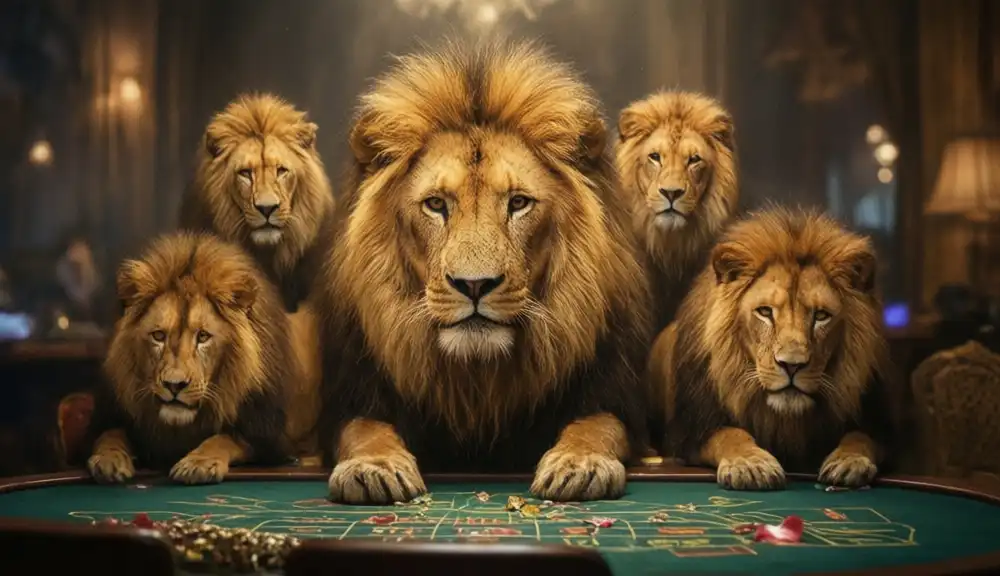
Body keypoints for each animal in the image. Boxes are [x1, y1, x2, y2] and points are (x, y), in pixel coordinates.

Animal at [86, 232, 299, 485]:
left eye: (203, 336)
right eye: (159, 336)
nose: (174, 385)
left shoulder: (268, 439)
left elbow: (224, 438)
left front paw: (198, 463)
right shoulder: (114, 415)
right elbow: (110, 434)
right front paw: (108, 460)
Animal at [316, 39, 653, 505]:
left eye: (518, 203)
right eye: (436, 204)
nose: (474, 285)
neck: (477, 382)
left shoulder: (615, 397)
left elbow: (599, 424)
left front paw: (580, 464)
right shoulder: (351, 396)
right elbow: (363, 428)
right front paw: (373, 467)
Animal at [653, 206, 894, 490]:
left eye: (821, 316)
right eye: (765, 312)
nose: (792, 365)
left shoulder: (878, 424)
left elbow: (861, 437)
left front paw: (850, 461)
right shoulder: (690, 432)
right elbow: (730, 434)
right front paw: (751, 465)